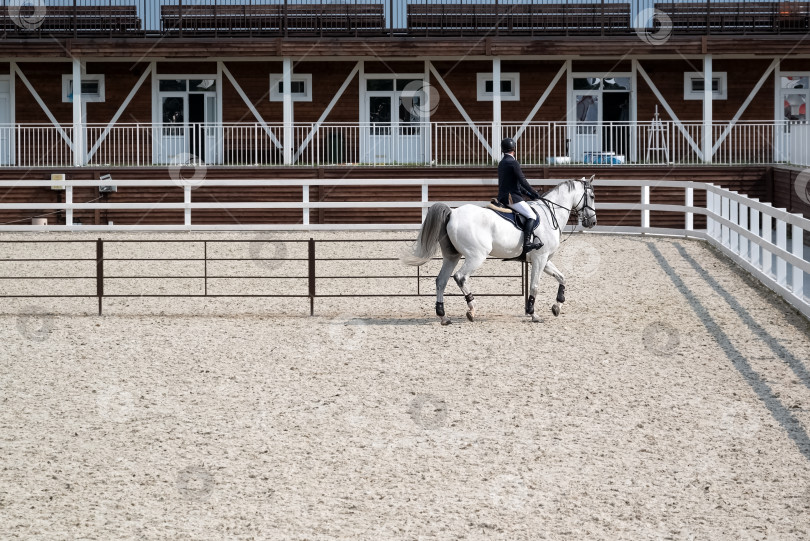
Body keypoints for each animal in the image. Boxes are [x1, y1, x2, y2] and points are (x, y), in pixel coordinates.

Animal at [400, 177, 592, 322]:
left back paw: (443, 316)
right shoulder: (540, 258)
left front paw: (557, 306)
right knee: (460, 277)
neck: (549, 214)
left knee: (441, 281)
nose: (593, 221)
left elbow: (562, 278)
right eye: (591, 195)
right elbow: (535, 286)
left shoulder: (544, 259)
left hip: (452, 256)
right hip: (476, 256)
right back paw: (472, 309)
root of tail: (452, 213)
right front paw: (533, 314)